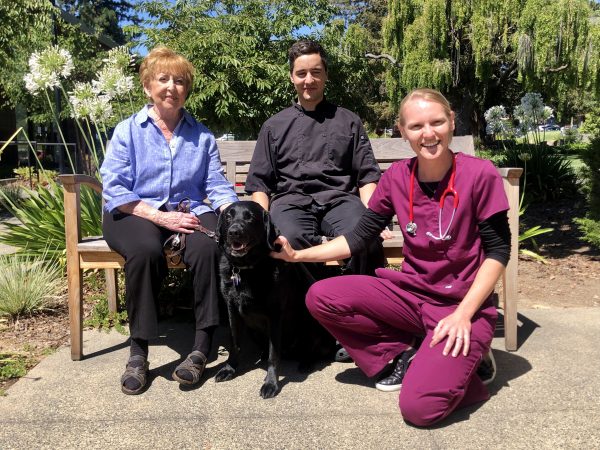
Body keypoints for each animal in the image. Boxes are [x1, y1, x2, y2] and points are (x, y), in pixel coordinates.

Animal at [213, 202, 332, 400]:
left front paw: (271, 383)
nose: (234, 232)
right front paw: (229, 369)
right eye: (228, 217)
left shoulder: (275, 315)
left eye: (250, 217)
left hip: (311, 322)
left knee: (312, 349)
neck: (247, 269)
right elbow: (235, 344)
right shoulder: (232, 311)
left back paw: (306, 362)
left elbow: (273, 355)